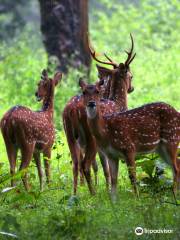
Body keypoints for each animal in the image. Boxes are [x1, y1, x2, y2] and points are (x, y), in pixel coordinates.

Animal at [63, 33, 135, 194]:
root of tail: (72, 110)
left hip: (69, 134)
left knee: (75, 163)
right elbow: (110, 167)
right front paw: (110, 189)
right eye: (131, 75)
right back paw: (92, 193)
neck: (117, 103)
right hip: (91, 138)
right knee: (84, 164)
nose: (131, 88)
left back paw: (75, 193)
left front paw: (107, 188)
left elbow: (105, 168)